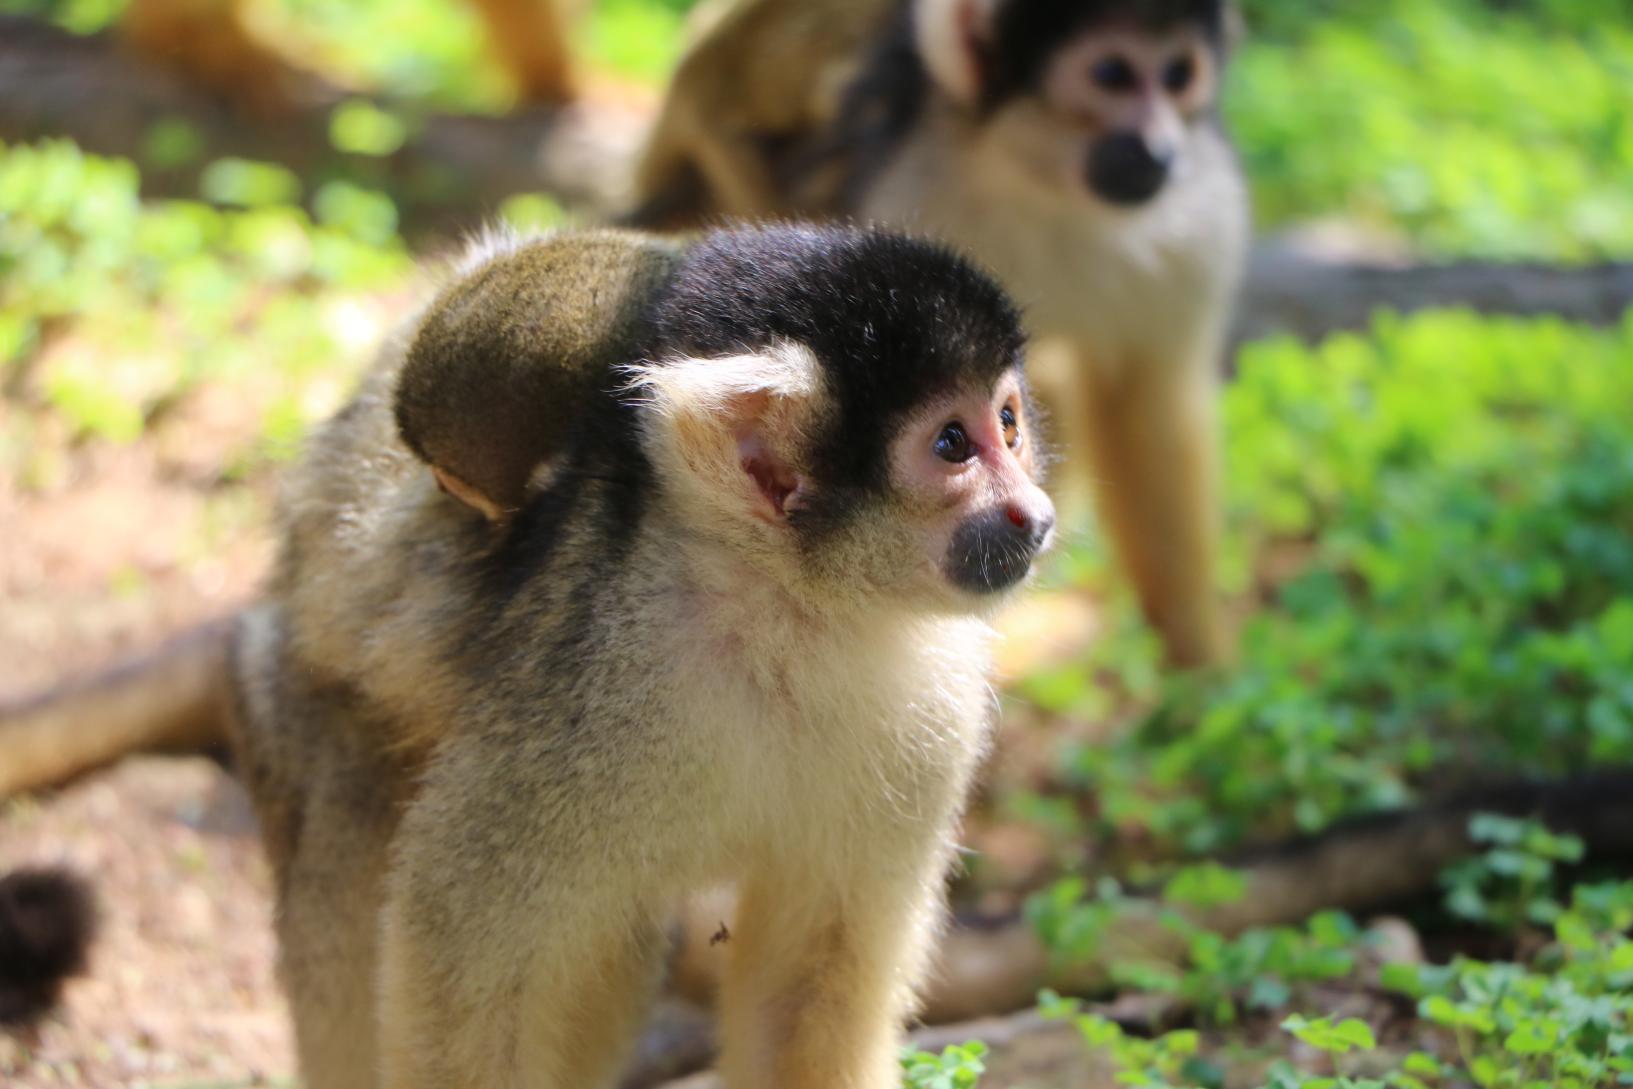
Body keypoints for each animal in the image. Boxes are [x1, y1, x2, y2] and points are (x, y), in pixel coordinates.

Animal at [633, 0, 1247, 669]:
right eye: (1113, 74)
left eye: (1178, 74)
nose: (1160, 150)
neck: (1041, 179)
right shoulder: (906, 193)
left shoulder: (1202, 217)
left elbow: (1151, 408)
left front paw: (1201, 668)